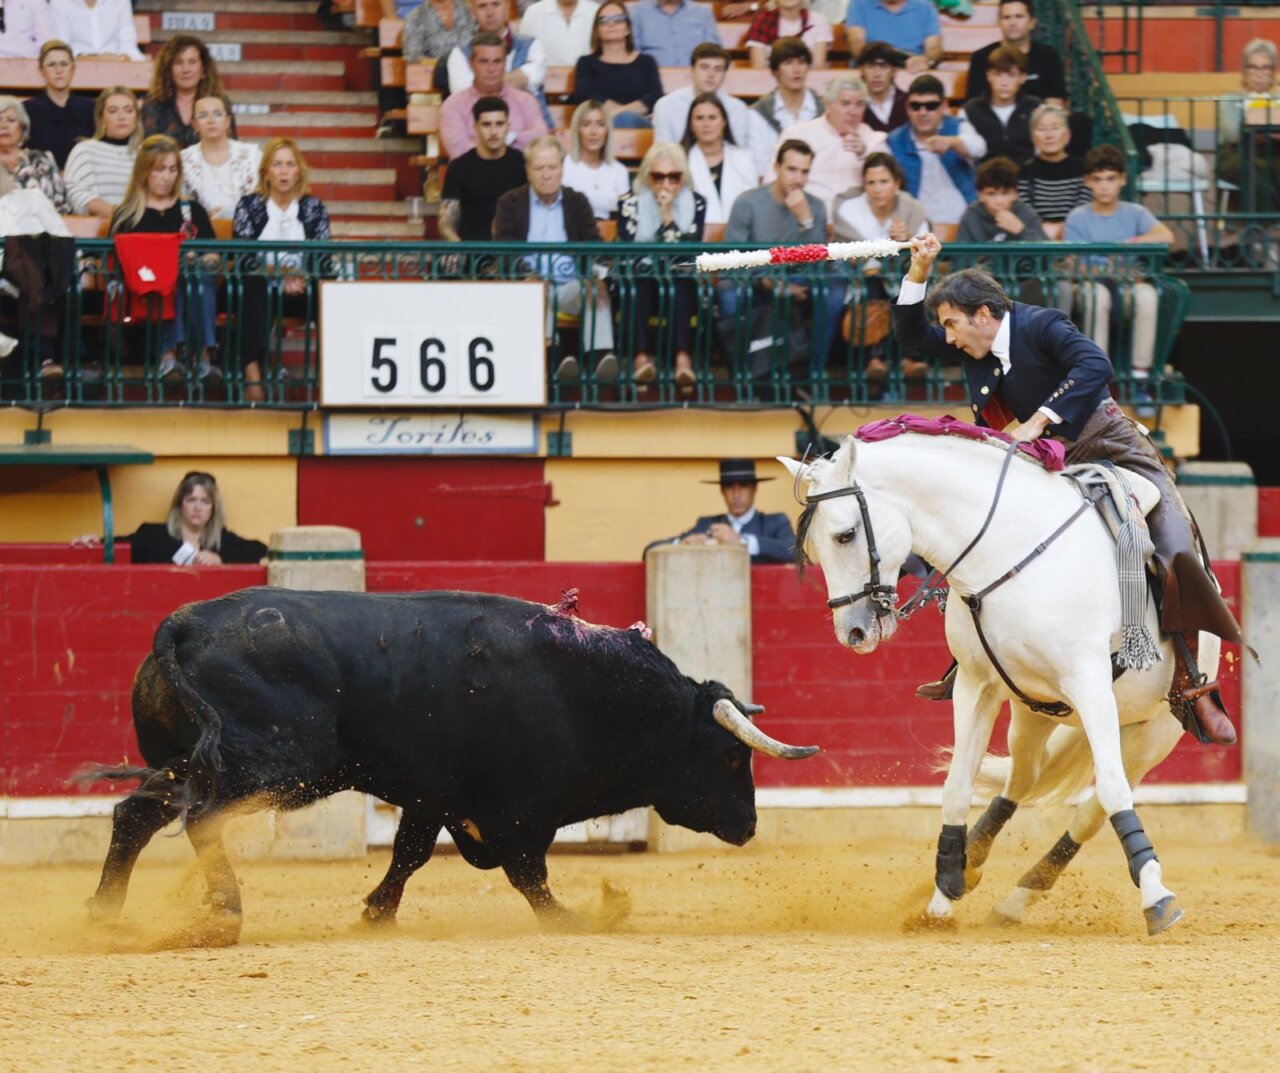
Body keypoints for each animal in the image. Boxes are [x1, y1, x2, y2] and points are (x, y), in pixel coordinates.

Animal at [85, 587, 818, 945]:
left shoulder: (433, 792)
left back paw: (106, 913)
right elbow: (527, 873)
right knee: (198, 819)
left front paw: (375, 914)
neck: (590, 691)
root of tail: (182, 626)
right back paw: (223, 914)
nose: (750, 825)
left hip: (189, 762)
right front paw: (574, 918)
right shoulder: (519, 811)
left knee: (137, 813)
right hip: (272, 765)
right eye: (732, 753)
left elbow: (408, 854)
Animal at [779, 426, 1221, 936]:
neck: (1007, 552)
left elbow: (1112, 790)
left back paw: (1021, 894)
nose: (852, 633)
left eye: (845, 534)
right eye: (814, 549)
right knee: (1021, 781)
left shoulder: (1089, 681)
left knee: (1094, 807)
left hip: (1153, 731)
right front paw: (941, 898)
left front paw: (1157, 898)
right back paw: (975, 873)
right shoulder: (977, 685)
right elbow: (957, 786)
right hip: (1034, 713)